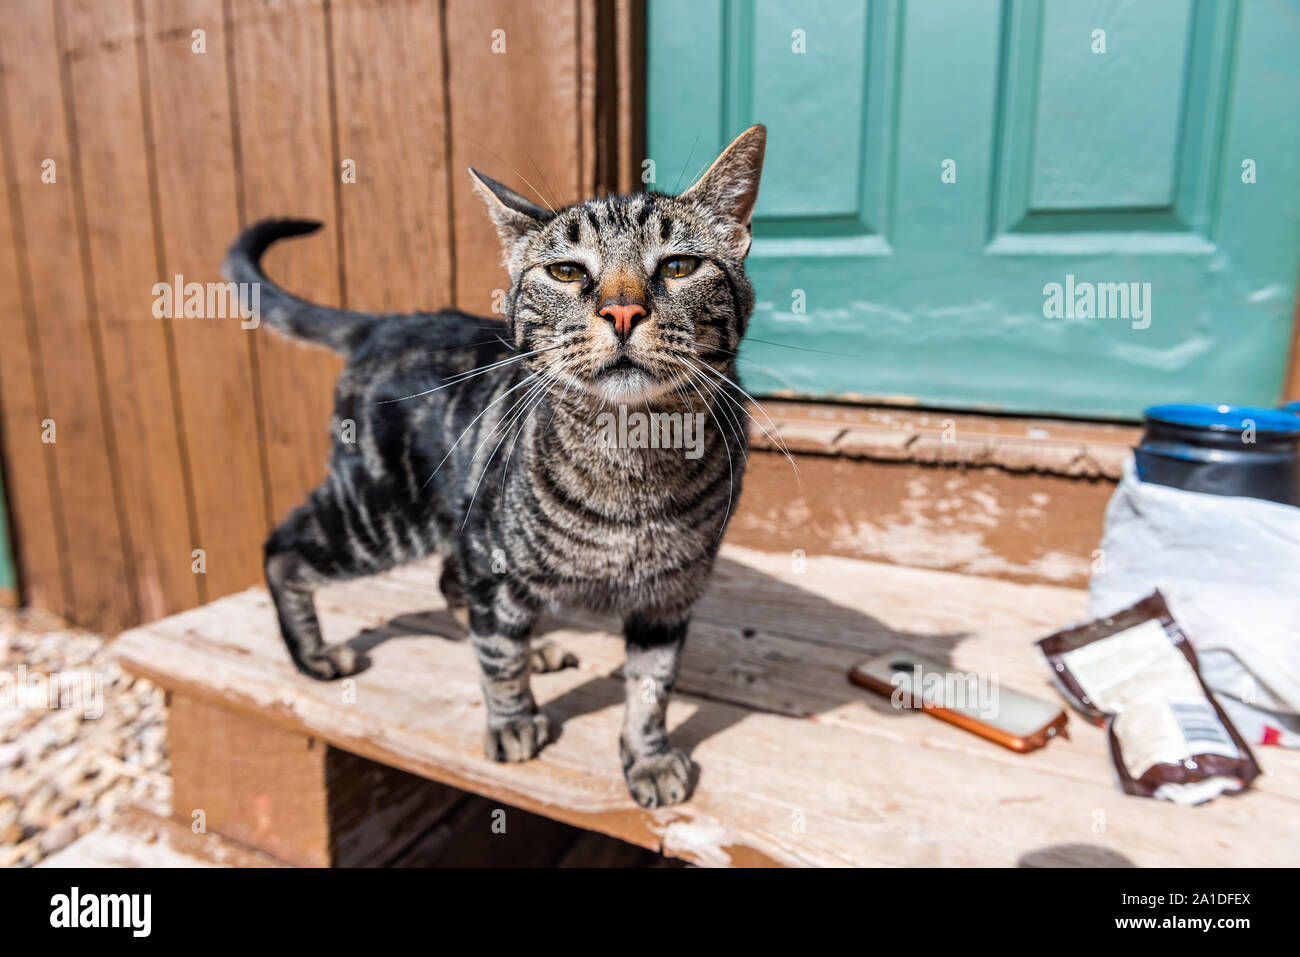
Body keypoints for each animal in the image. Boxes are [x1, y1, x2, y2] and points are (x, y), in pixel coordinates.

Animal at [227, 123, 764, 806]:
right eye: (566, 271)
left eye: (678, 265)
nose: (622, 312)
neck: (632, 462)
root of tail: (382, 324)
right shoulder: (491, 554)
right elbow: (498, 660)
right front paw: (511, 722)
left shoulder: (669, 597)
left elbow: (652, 688)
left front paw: (648, 758)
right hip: (381, 514)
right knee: (285, 547)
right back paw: (315, 654)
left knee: (455, 589)